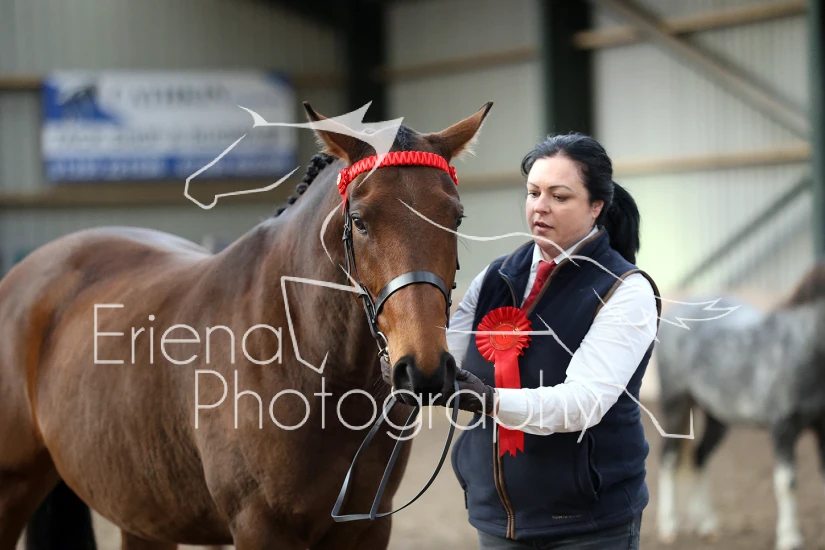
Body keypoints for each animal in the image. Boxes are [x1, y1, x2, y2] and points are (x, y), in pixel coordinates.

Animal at [0, 101, 492, 549]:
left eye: (456, 218)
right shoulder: (260, 527)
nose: (424, 371)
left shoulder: (367, 528)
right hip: (14, 487)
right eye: (359, 220)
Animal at [654, 282, 825, 550]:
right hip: (675, 405)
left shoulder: (822, 427)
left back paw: (707, 525)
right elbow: (787, 483)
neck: (803, 346)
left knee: (699, 457)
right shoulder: (783, 429)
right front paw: (789, 538)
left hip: (717, 418)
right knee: (668, 460)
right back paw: (669, 527)